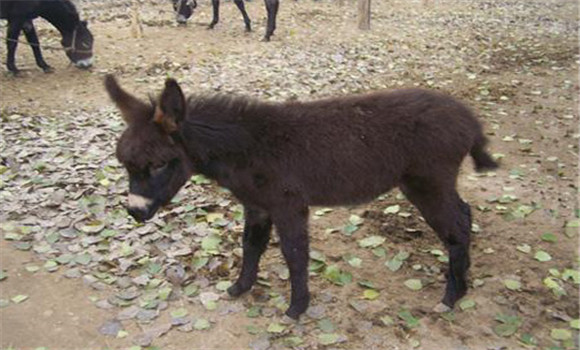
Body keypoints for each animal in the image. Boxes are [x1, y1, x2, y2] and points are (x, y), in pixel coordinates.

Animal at [105, 75, 498, 318]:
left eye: (158, 164)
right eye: (124, 165)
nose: (135, 213)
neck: (247, 149)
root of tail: (468, 117)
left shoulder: (289, 205)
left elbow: (294, 255)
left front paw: (296, 309)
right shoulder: (258, 206)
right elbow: (251, 247)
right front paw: (240, 288)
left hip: (426, 183)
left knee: (456, 228)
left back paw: (451, 297)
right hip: (433, 184)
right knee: (465, 215)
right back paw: (463, 283)